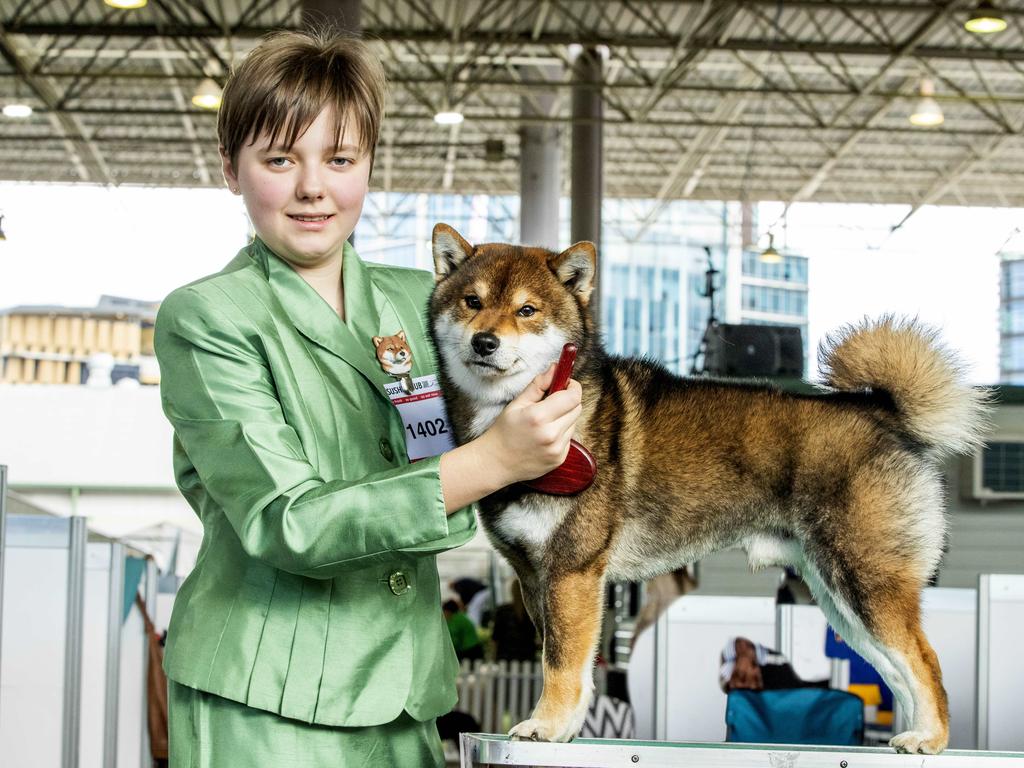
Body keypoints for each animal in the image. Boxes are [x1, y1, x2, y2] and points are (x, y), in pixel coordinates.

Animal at [428, 225, 987, 753]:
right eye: (472, 301)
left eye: (527, 310)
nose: (484, 342)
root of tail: (880, 411)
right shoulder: (534, 576)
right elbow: (562, 660)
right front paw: (563, 728)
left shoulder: (572, 570)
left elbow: (561, 663)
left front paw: (545, 727)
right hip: (840, 603)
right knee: (898, 672)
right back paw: (913, 735)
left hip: (864, 581)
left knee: (924, 660)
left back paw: (929, 738)